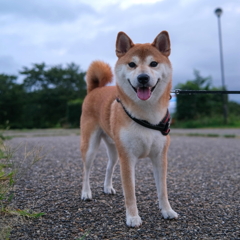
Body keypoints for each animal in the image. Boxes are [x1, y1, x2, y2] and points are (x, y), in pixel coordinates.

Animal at [80, 30, 178, 227]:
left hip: (114, 149)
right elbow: (130, 192)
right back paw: (86, 193)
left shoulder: (160, 156)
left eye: (153, 63)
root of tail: (95, 89)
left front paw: (167, 211)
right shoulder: (128, 158)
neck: (147, 114)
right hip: (91, 146)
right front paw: (133, 217)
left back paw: (107, 187)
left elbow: (163, 190)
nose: (143, 78)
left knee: (109, 167)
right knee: (86, 170)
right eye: (132, 64)